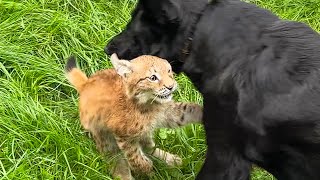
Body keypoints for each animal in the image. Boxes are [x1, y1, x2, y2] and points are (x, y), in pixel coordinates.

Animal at [64, 54, 202, 179]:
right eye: (153, 78)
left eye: (169, 71)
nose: (171, 86)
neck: (147, 104)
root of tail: (86, 83)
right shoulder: (123, 137)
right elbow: (135, 159)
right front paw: (147, 169)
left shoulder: (167, 113)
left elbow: (186, 110)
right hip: (104, 136)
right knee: (115, 159)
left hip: (142, 133)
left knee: (148, 146)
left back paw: (170, 159)